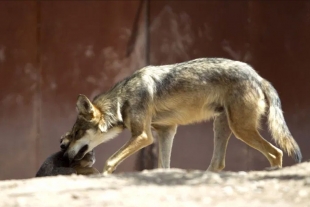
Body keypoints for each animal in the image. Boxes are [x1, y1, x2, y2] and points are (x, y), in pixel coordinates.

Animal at [61, 57, 302, 175]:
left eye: (76, 133)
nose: (64, 155)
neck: (123, 99)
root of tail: (258, 76)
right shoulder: (166, 131)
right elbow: (163, 166)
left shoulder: (143, 136)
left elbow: (110, 161)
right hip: (223, 126)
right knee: (218, 164)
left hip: (240, 129)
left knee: (276, 153)